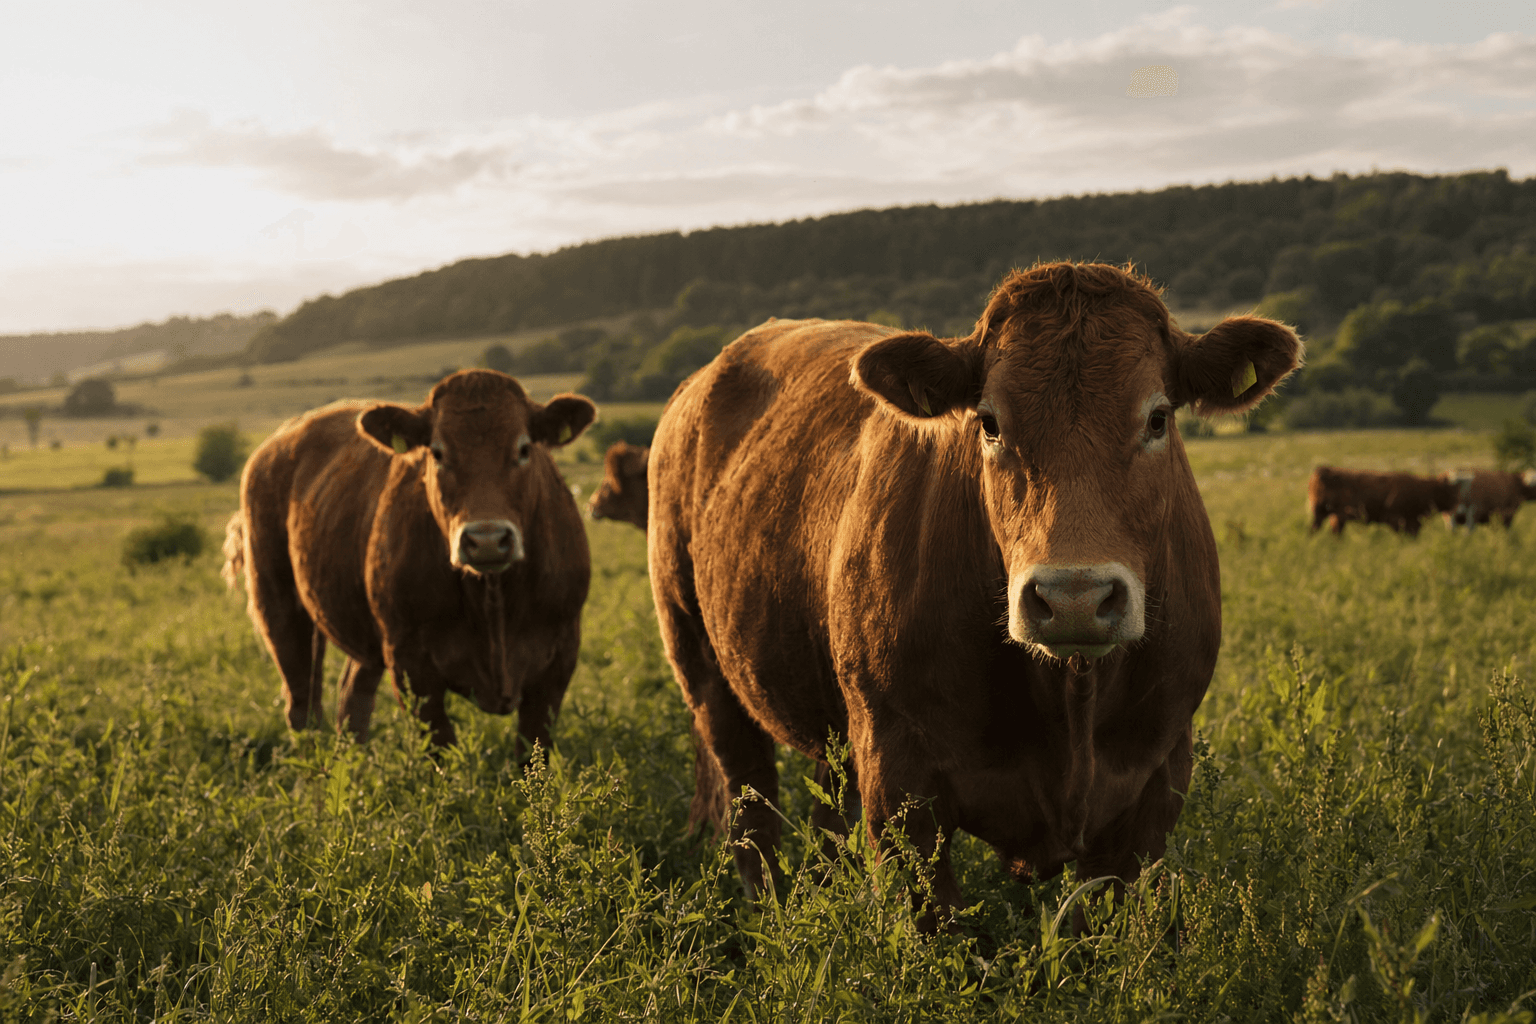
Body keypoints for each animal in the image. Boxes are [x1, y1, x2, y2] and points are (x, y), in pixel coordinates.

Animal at [223, 370, 596, 750]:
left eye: (523, 449)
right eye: (438, 452)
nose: (487, 540)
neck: (493, 601)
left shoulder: (559, 659)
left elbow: (533, 747)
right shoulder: (410, 662)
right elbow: (440, 744)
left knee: (352, 696)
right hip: (277, 602)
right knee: (302, 705)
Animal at [647, 261, 1301, 926]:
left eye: (1158, 418)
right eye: (989, 422)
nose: (1073, 598)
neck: (1070, 699)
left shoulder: (1155, 782)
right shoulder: (899, 780)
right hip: (702, 662)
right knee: (751, 814)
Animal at [1307, 467, 1457, 537]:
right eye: (1446, 492)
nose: (1455, 507)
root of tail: (1324, 470)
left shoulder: (1413, 523)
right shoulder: (1398, 520)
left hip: (1331, 516)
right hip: (1324, 514)